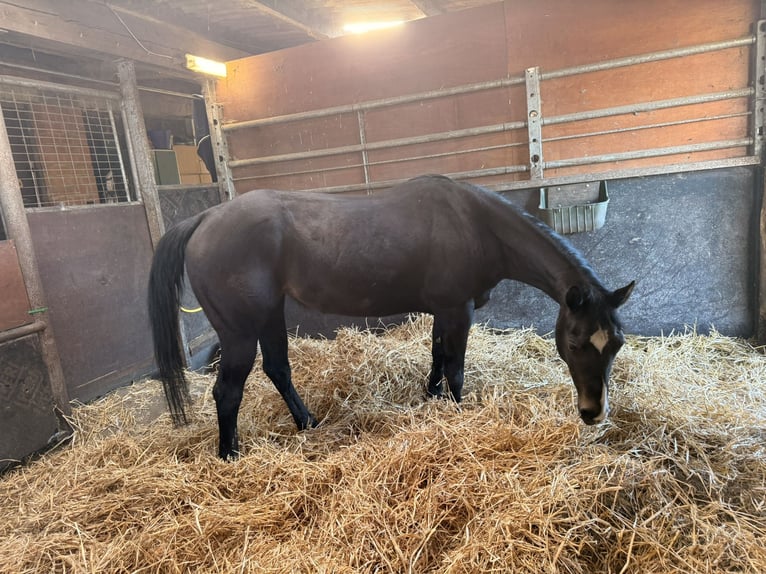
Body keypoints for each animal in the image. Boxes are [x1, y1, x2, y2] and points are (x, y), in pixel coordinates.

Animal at [148, 174, 634, 460]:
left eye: (616, 343)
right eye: (574, 343)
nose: (594, 412)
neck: (475, 225)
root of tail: (205, 218)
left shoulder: (444, 310)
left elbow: (437, 357)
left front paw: (431, 397)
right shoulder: (458, 310)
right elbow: (456, 368)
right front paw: (455, 412)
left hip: (269, 316)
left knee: (278, 369)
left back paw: (308, 423)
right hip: (240, 331)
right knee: (227, 392)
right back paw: (229, 454)